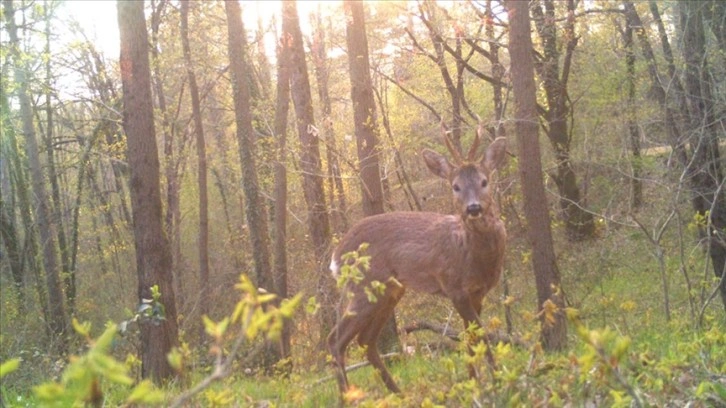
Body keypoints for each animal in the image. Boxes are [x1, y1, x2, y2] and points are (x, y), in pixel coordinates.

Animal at [328, 125, 506, 396]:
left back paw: (398, 394)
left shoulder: (478, 293)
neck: (471, 254)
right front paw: (496, 383)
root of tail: (337, 255)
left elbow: (471, 337)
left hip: (390, 291)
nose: (473, 208)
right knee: (336, 340)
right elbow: (481, 335)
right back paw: (349, 398)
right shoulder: (454, 288)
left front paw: (475, 383)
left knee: (365, 341)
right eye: (455, 186)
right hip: (363, 287)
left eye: (484, 181)